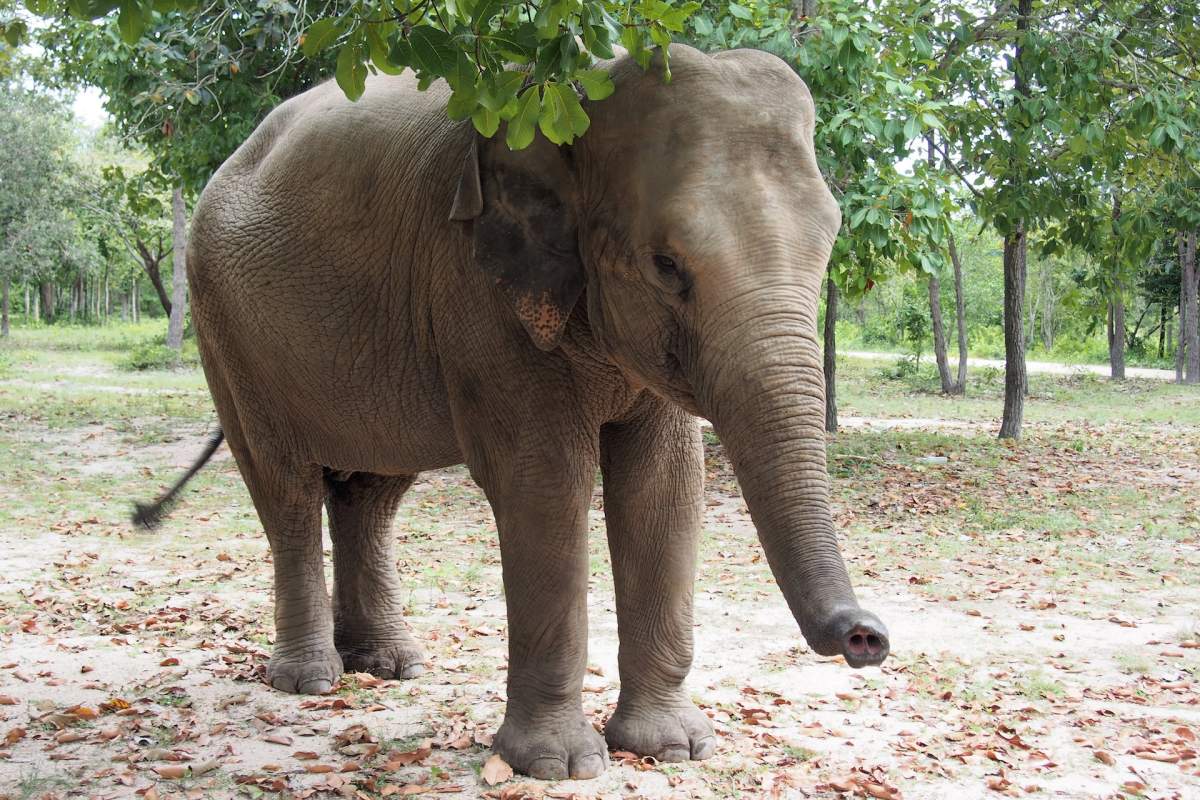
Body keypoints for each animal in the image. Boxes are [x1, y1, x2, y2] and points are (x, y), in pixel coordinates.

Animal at [140, 40, 892, 777]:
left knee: (371, 492)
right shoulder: (475, 285)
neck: (585, 84)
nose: (867, 636)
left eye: (829, 244)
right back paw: (311, 680)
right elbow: (546, 482)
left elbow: (664, 488)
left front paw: (671, 749)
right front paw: (559, 766)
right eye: (666, 265)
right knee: (286, 487)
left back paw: (388, 666)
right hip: (227, 330)